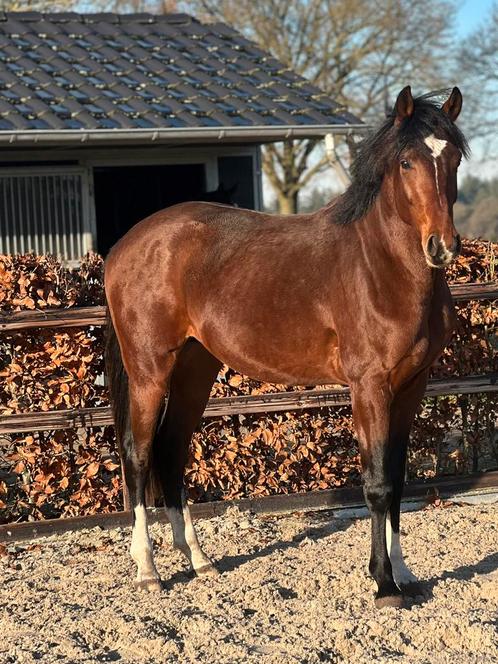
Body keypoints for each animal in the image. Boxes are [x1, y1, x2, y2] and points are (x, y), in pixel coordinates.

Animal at [105, 87, 466, 608]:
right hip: (150, 370)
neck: (382, 268)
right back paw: (147, 569)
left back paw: (199, 561)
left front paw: (404, 573)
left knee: (171, 450)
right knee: (137, 454)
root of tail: (124, 246)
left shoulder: (411, 387)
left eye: (454, 157)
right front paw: (383, 584)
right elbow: (377, 484)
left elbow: (398, 481)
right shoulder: (370, 388)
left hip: (195, 369)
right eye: (406, 162)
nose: (443, 246)